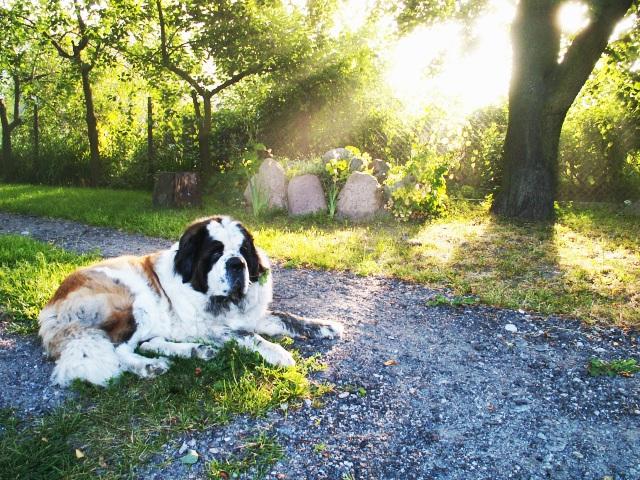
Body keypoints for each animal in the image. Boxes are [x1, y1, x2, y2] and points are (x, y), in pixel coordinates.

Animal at [37, 217, 342, 386]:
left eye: (244, 250)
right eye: (215, 252)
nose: (237, 264)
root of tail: (52, 307)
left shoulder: (251, 315)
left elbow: (286, 318)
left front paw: (326, 326)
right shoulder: (213, 328)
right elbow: (250, 336)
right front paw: (279, 353)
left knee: (148, 343)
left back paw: (196, 351)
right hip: (135, 303)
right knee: (120, 349)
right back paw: (149, 366)